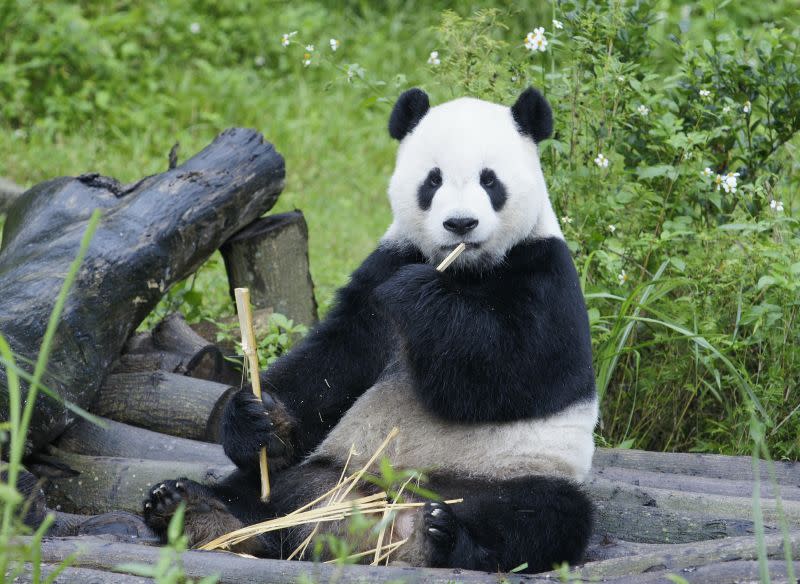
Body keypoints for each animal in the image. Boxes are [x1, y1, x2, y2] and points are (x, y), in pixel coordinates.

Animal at [144, 88, 596, 576]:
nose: (460, 223)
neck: (464, 268)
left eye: (490, 181)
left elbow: (515, 373)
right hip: (332, 468)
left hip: (506, 474)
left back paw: (444, 536)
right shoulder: (385, 265)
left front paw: (419, 294)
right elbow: (334, 361)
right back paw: (195, 511)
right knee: (261, 492)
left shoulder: (545, 272)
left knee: (541, 516)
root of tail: (378, 519)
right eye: (432, 181)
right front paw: (256, 416)